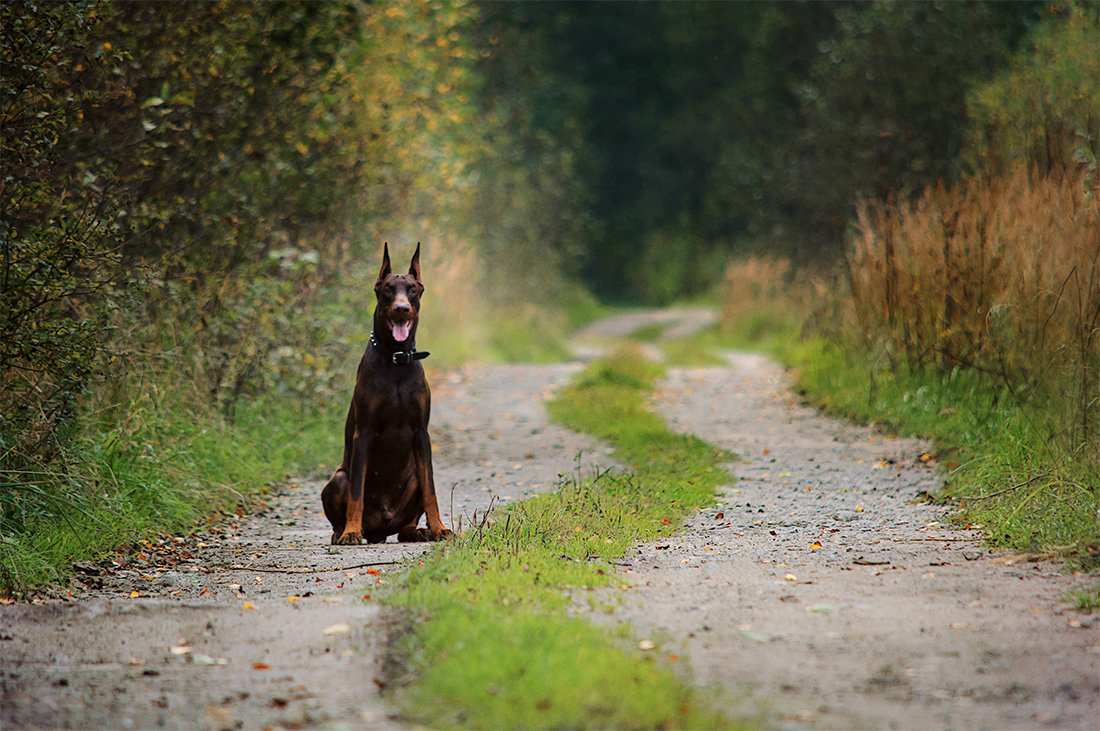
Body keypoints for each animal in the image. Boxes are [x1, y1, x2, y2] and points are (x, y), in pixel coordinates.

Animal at [321, 241, 451, 545]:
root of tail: (380, 529)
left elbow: (431, 489)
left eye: (412, 289)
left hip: (411, 480)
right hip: (337, 479)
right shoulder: (364, 432)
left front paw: (439, 527)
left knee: (405, 526)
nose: (402, 308)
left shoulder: (421, 432)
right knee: (342, 503)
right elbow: (356, 493)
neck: (396, 359)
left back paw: (420, 531)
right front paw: (351, 531)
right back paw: (343, 532)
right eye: (389, 289)